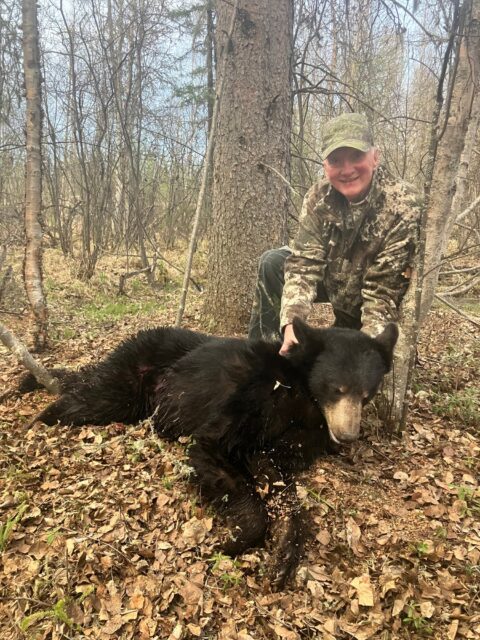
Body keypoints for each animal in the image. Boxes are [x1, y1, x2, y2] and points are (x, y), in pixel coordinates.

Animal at [27, 318, 398, 588]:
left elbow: (279, 481)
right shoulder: (242, 408)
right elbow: (215, 451)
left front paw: (283, 554)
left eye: (367, 394)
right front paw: (234, 539)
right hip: (128, 381)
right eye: (338, 389)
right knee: (89, 396)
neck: (299, 391)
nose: (347, 436)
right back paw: (37, 413)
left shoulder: (285, 440)